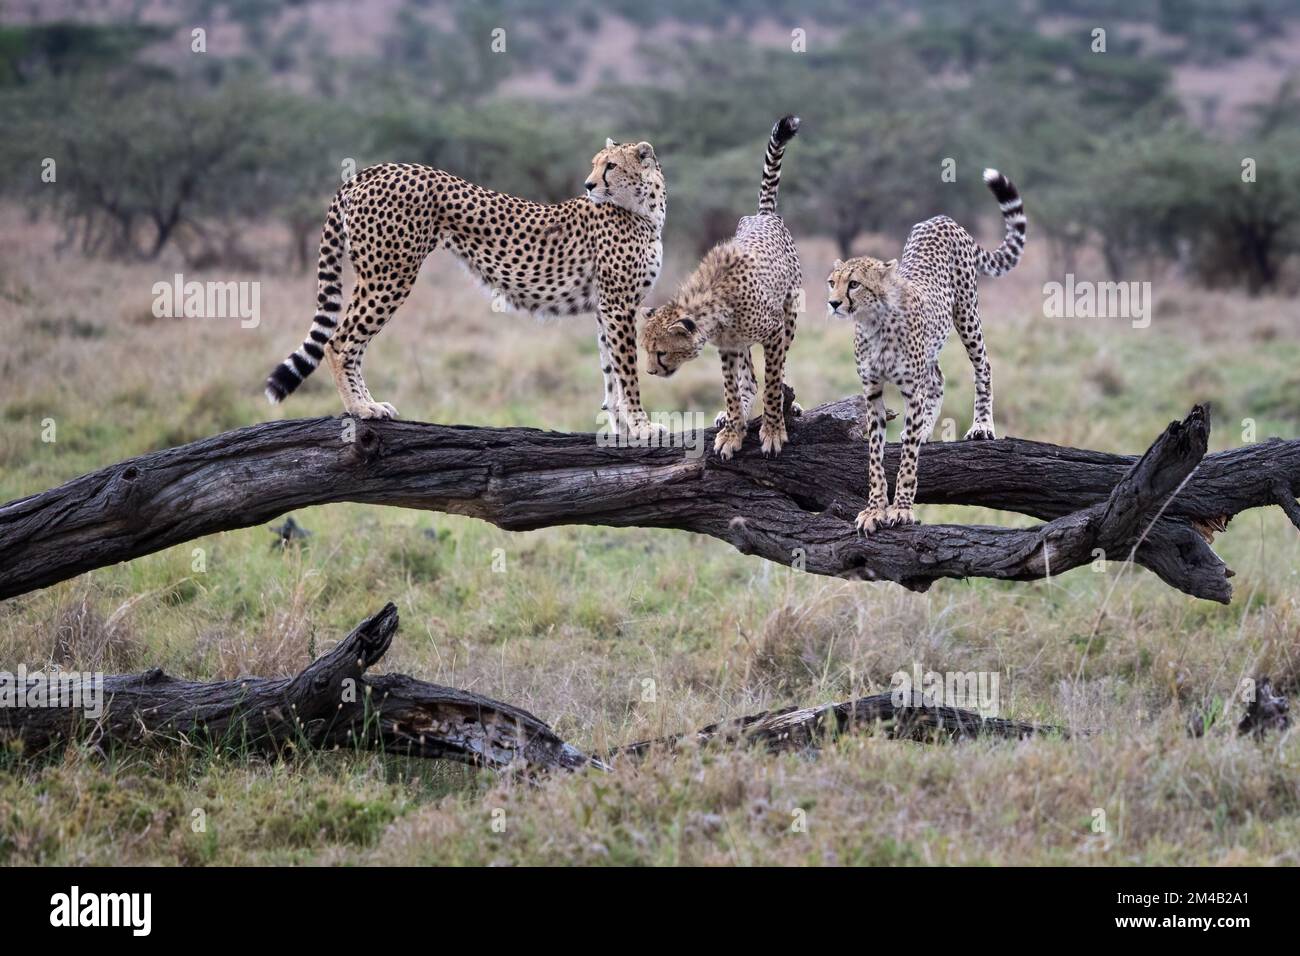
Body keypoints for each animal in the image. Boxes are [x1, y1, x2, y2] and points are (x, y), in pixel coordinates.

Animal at [266, 139, 670, 437]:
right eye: (597, 164)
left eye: (610, 166)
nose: (588, 185)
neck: (646, 211)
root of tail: (373, 170)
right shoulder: (618, 305)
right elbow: (628, 373)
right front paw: (642, 427)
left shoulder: (606, 307)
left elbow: (611, 373)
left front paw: (620, 428)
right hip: (389, 275)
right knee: (340, 342)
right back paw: (361, 408)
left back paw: (368, 405)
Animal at [639, 115, 800, 460]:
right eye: (646, 351)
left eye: (660, 352)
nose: (650, 372)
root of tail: (762, 216)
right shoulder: (727, 346)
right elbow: (731, 387)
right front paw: (732, 431)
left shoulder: (774, 330)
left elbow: (773, 381)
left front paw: (773, 430)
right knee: (749, 379)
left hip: (791, 313)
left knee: (777, 369)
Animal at [832, 167, 1024, 535]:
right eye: (831, 282)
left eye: (854, 284)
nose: (833, 303)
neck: (874, 322)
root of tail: (941, 218)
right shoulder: (873, 393)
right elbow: (875, 457)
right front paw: (874, 509)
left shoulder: (910, 389)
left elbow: (907, 459)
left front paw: (902, 508)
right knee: (937, 379)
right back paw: (923, 430)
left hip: (966, 313)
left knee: (982, 366)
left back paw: (980, 425)